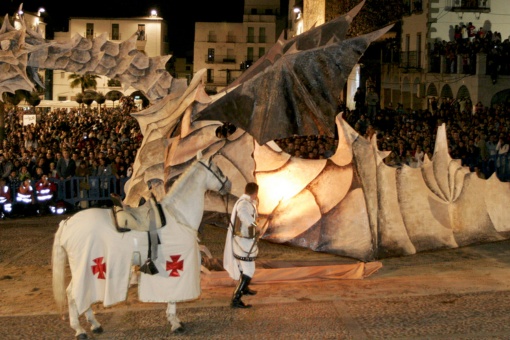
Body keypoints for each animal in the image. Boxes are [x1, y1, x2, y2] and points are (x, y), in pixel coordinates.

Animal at [50, 155, 230, 340]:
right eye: (217, 169)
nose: (228, 184)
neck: (177, 216)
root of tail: (67, 223)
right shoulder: (176, 266)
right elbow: (172, 296)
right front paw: (175, 323)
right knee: (72, 294)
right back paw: (79, 329)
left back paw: (94, 324)